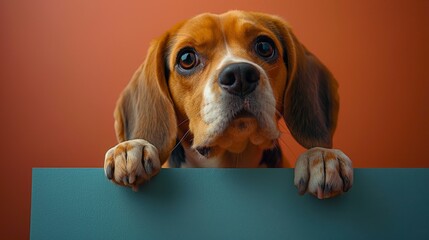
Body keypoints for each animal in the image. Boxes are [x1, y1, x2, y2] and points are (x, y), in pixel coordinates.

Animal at [103, 10, 352, 199]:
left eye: (264, 46)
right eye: (186, 58)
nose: (240, 75)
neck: (232, 159)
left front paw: (322, 157)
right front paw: (131, 149)